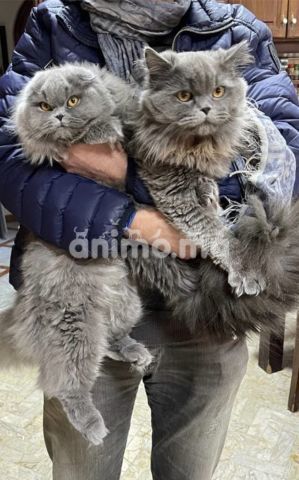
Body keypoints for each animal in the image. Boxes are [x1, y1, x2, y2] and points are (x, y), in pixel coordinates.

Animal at [127, 43, 299, 338]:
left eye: (218, 91)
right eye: (184, 96)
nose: (206, 108)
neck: (198, 145)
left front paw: (210, 193)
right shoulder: (171, 189)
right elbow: (215, 233)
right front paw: (244, 271)